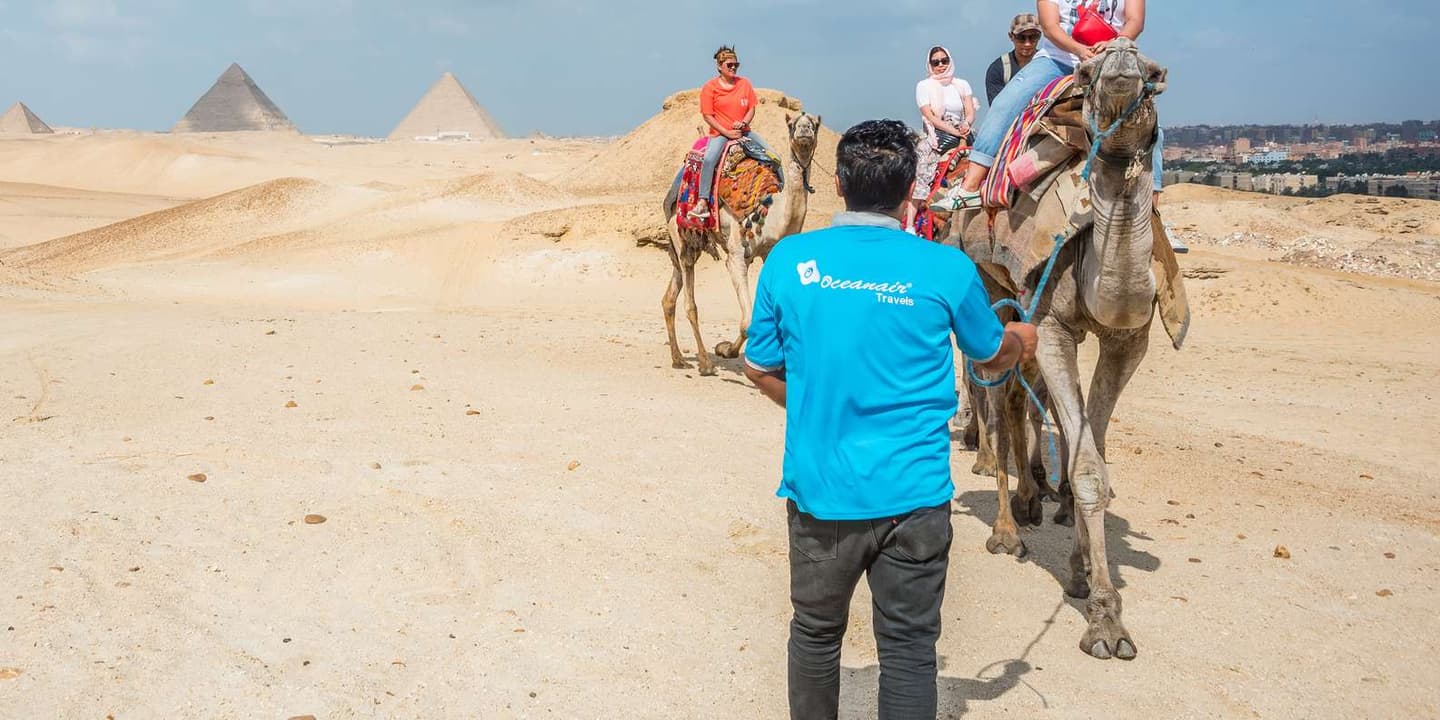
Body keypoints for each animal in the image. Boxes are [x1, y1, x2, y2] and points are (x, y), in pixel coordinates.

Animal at [660, 112, 819, 375]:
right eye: (791, 123)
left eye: (815, 123)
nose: (804, 129)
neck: (772, 211)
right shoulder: (735, 255)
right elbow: (747, 322)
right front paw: (726, 350)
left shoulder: (768, 252)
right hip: (680, 234)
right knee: (689, 302)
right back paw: (705, 364)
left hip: (687, 244)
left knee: (670, 297)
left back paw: (678, 359)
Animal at [955, 40, 1167, 661]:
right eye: (1088, 71)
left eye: (1153, 74)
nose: (1118, 61)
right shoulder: (1049, 326)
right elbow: (1088, 468)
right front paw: (1106, 623)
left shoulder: (1129, 340)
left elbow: (1087, 451)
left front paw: (1080, 571)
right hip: (989, 288)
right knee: (997, 397)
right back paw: (1006, 529)